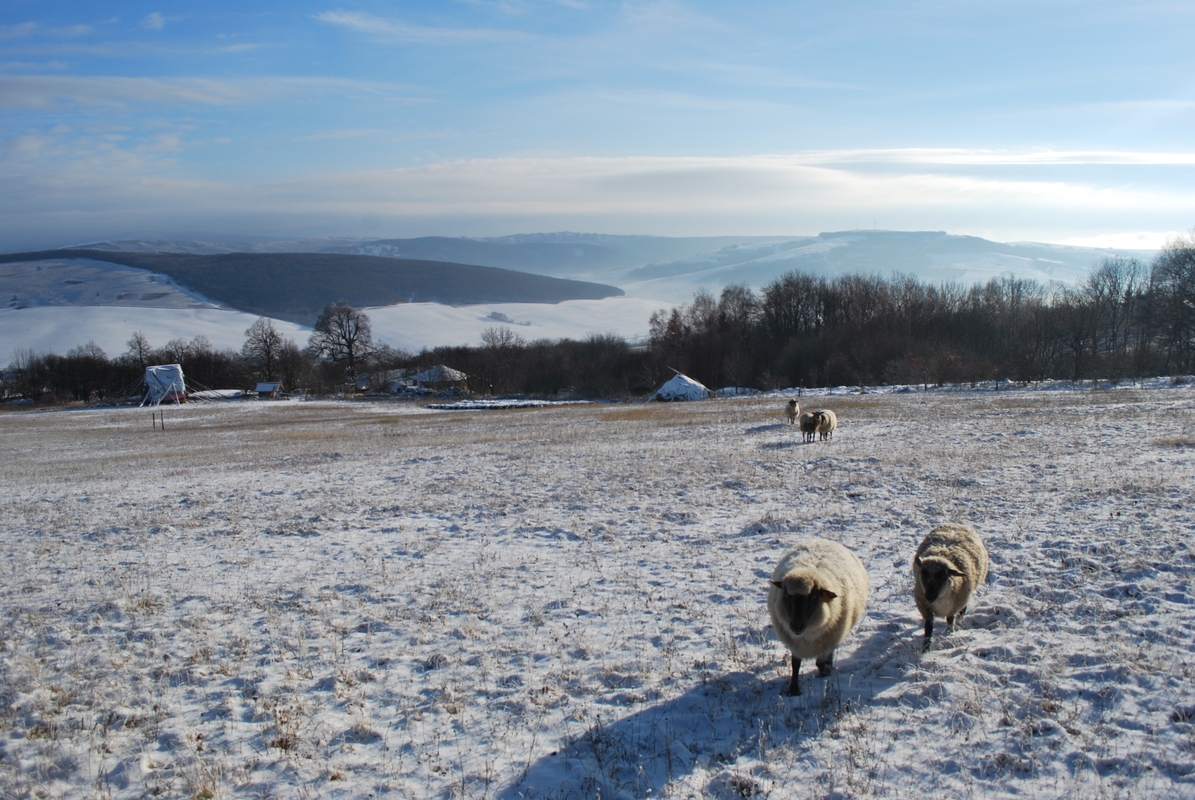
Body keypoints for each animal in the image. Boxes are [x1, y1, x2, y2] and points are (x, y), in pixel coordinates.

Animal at [768, 538, 869, 695]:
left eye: (814, 597)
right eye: (787, 596)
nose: (796, 625)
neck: (808, 633)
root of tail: (822, 539)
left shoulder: (828, 638)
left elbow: (821, 661)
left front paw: (825, 672)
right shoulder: (795, 642)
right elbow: (795, 664)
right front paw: (793, 689)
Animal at [912, 522, 989, 652]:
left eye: (943, 576)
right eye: (923, 574)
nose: (930, 597)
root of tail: (957, 523)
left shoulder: (955, 605)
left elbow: (950, 620)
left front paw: (949, 634)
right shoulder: (924, 605)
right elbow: (928, 627)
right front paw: (925, 648)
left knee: (962, 609)